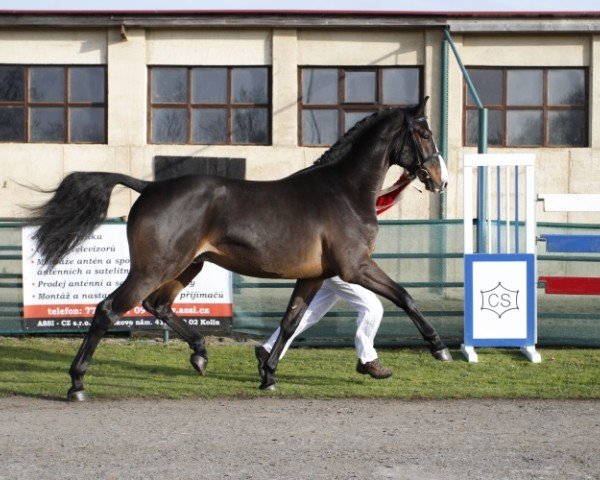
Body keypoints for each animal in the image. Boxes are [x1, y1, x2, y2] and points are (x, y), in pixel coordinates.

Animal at [29, 95, 450, 400]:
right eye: (424, 135)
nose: (440, 181)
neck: (344, 192)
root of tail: (149, 187)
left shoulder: (314, 276)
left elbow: (291, 321)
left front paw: (268, 375)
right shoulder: (356, 267)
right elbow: (405, 296)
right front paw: (439, 348)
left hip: (188, 265)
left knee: (157, 305)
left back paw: (200, 354)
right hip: (156, 267)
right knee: (108, 310)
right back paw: (77, 384)